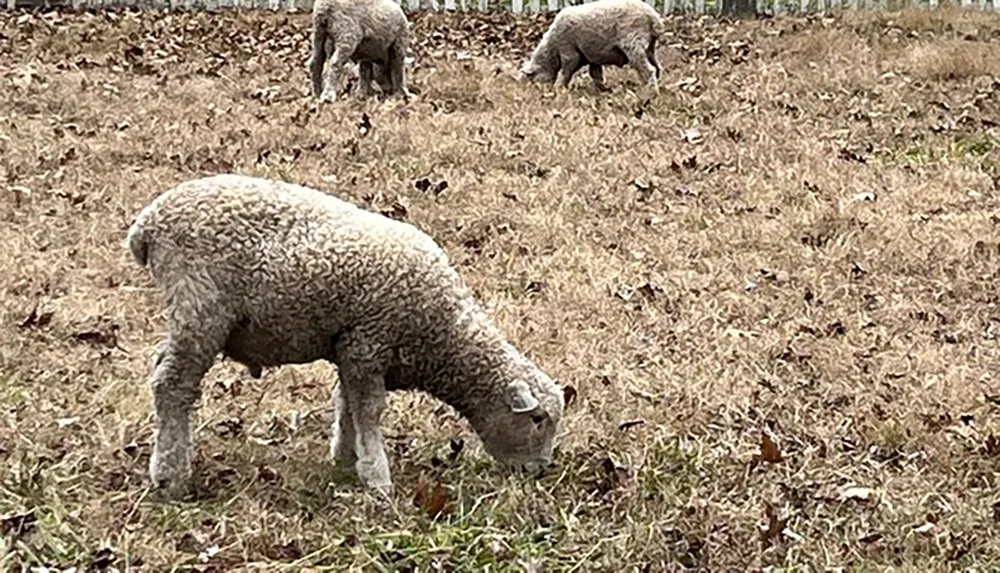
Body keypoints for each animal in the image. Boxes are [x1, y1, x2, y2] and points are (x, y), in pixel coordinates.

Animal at [124, 171, 568, 496]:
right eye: (538, 420)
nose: (539, 471)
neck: (440, 332)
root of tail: (147, 225)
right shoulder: (369, 341)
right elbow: (369, 410)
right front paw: (377, 478)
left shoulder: (350, 347)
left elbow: (347, 404)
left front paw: (343, 458)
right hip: (201, 306)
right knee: (172, 385)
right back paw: (170, 476)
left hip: (190, 312)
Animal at [520, 0, 668, 92]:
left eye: (531, 80)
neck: (552, 47)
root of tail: (654, 18)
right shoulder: (592, 57)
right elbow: (595, 74)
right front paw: (603, 90)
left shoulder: (568, 50)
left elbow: (566, 71)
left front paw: (559, 88)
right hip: (649, 48)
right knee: (657, 67)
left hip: (633, 44)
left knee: (649, 70)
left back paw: (649, 94)